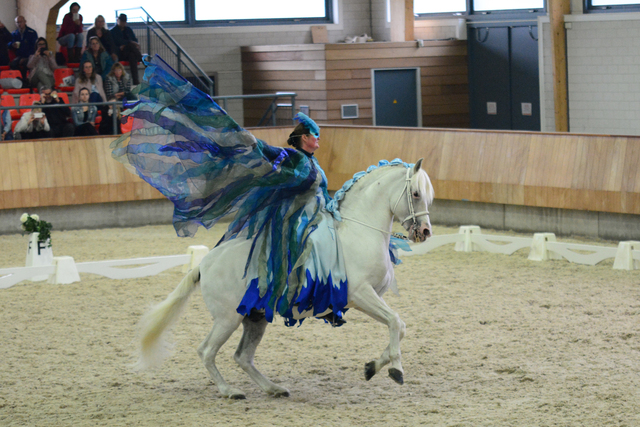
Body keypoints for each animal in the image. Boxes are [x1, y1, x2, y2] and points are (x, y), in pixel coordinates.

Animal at [135, 159, 436, 400]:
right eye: (416, 193)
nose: (424, 232)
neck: (358, 232)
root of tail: (205, 263)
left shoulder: (369, 299)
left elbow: (399, 326)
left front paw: (372, 367)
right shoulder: (362, 295)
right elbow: (396, 322)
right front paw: (396, 370)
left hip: (254, 318)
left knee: (242, 357)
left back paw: (273, 389)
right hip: (227, 319)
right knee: (206, 351)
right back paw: (230, 391)